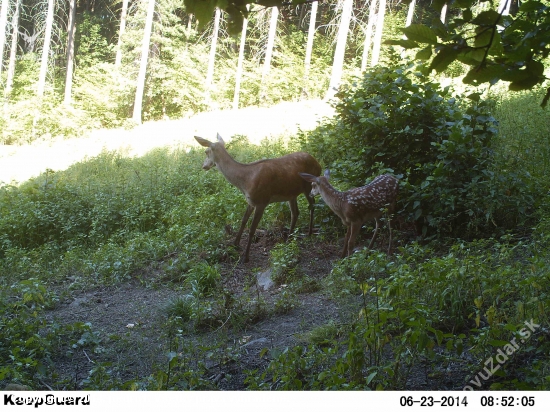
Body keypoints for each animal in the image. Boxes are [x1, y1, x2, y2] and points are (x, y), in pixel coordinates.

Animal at [196, 135, 324, 264]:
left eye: (206, 151)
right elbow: (243, 220)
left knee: (312, 205)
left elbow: (252, 229)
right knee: (295, 212)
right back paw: (289, 239)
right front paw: (235, 243)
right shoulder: (251, 201)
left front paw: (246, 257)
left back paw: (309, 233)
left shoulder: (262, 201)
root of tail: (319, 165)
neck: (245, 181)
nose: (203, 166)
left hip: (308, 186)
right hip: (291, 194)